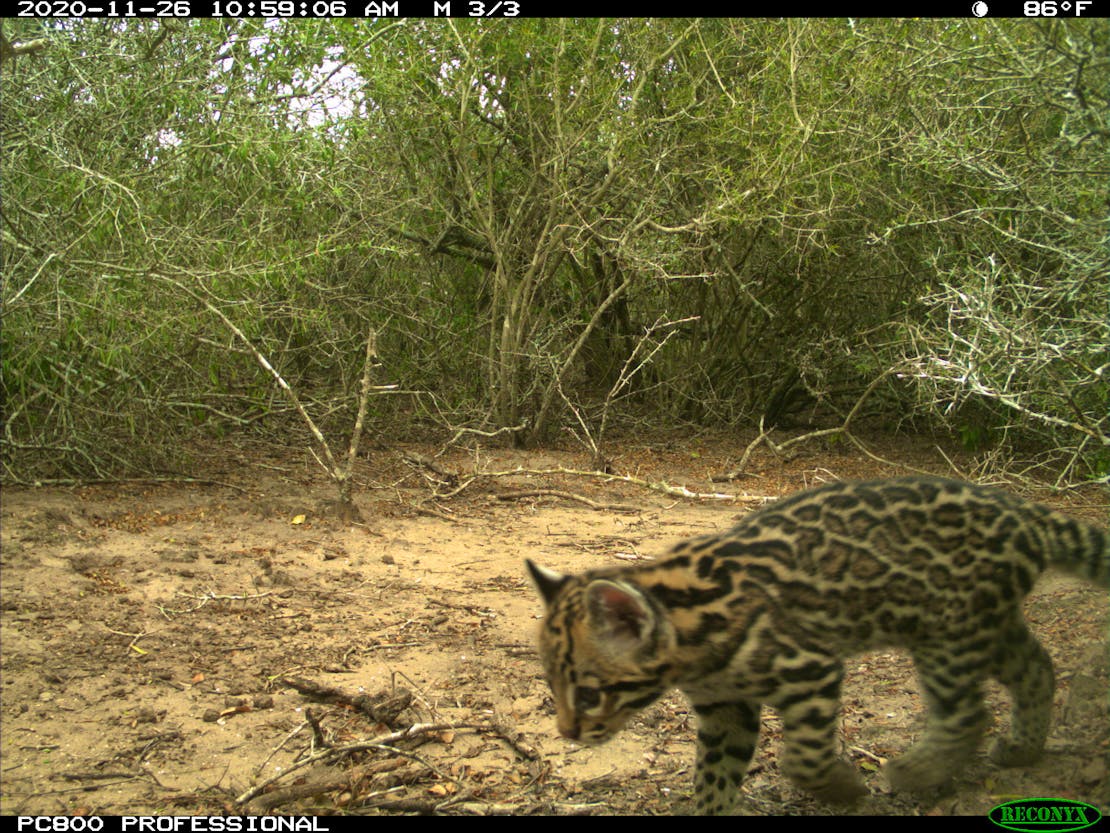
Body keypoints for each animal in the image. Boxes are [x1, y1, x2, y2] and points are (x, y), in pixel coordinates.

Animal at [523, 475, 1105, 817]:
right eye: (550, 684)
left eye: (590, 693)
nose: (567, 733)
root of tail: (1028, 512)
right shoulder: (726, 705)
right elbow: (714, 773)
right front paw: (714, 808)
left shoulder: (810, 669)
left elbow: (802, 759)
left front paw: (844, 787)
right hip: (987, 623)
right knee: (1038, 667)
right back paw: (1023, 747)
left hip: (946, 633)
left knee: (967, 712)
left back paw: (916, 771)